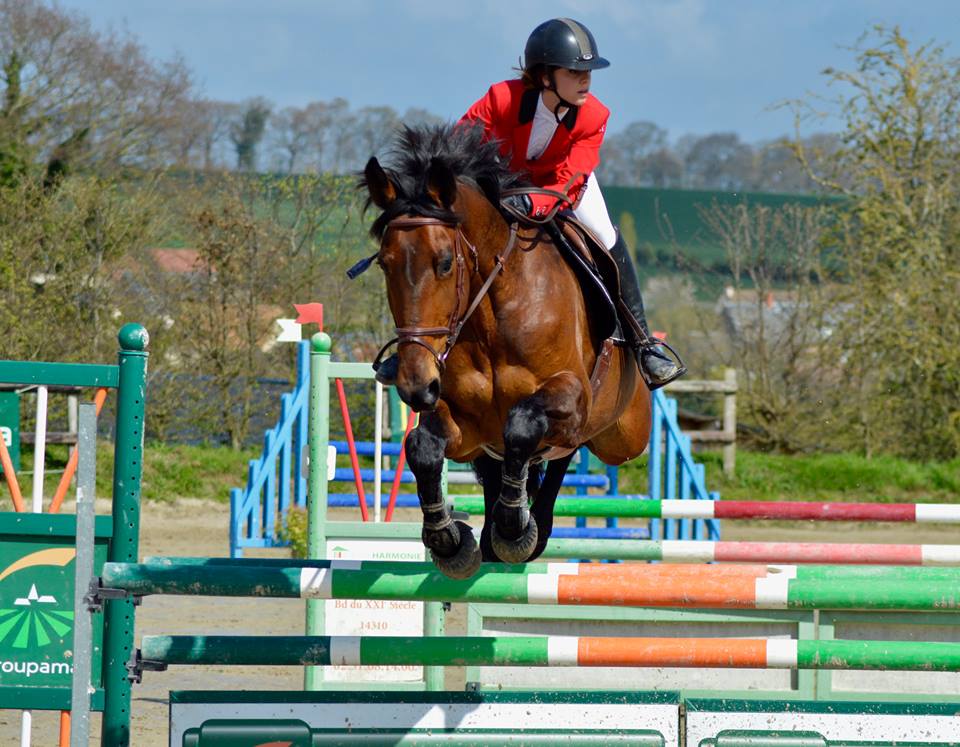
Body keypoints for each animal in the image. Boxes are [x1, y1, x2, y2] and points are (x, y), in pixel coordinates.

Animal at [361, 123, 651, 578]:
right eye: (384, 264)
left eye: (445, 263)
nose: (414, 385)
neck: (490, 318)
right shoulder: (466, 428)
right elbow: (423, 447)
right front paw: (447, 538)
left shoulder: (570, 394)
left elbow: (522, 425)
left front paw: (514, 525)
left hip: (624, 436)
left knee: (563, 455)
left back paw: (528, 529)